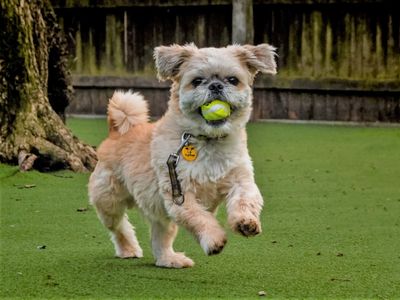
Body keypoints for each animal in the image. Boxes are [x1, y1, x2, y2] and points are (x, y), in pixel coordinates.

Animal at [88, 42, 276, 268]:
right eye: (197, 81)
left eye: (233, 80)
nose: (215, 86)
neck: (208, 141)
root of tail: (116, 132)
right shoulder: (180, 193)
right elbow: (200, 218)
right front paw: (214, 240)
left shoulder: (241, 179)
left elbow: (245, 199)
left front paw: (245, 222)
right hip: (109, 202)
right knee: (119, 227)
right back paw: (129, 249)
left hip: (160, 217)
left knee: (160, 240)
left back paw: (170, 259)